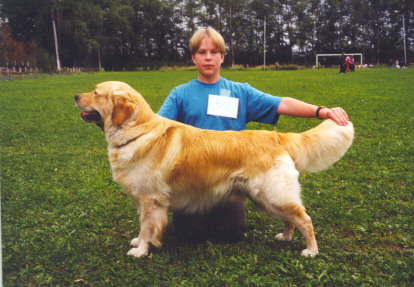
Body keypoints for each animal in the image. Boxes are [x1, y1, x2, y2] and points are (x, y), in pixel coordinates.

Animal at [74, 81, 352, 258]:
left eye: (96, 92)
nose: (75, 96)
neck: (136, 132)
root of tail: (277, 136)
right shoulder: (145, 200)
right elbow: (144, 224)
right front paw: (139, 242)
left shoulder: (150, 199)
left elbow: (147, 227)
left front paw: (141, 250)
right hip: (267, 198)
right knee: (291, 219)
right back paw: (285, 237)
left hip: (273, 194)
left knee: (305, 219)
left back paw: (311, 250)